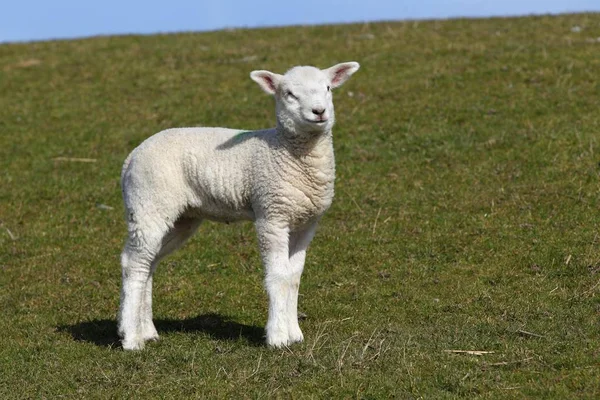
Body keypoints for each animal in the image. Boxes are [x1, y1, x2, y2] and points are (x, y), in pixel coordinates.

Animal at [118, 60, 360, 350]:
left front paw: (295, 334)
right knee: (134, 264)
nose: (319, 111)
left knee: (146, 263)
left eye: (327, 88)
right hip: (149, 203)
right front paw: (278, 337)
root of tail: (131, 157)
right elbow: (277, 276)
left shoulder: (306, 223)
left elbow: (293, 277)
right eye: (289, 94)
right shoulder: (271, 215)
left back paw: (145, 330)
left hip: (178, 217)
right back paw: (131, 339)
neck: (287, 151)